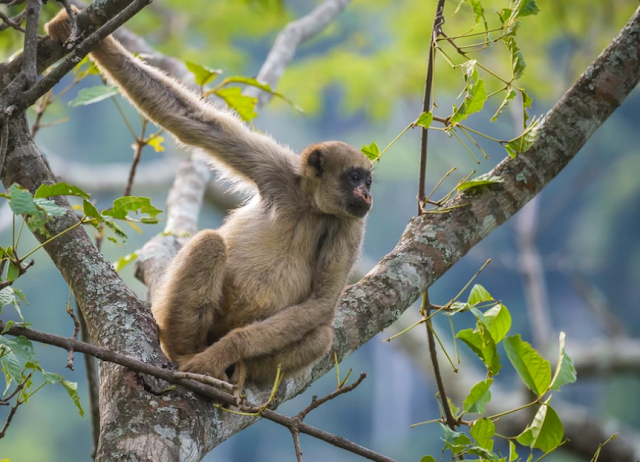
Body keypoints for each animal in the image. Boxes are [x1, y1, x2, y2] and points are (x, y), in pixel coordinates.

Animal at [45, 9, 372, 386]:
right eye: (355, 177)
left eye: (368, 181)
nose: (366, 194)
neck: (310, 207)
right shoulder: (276, 168)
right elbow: (192, 120)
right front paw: (89, 36)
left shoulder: (351, 224)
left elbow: (320, 303)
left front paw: (227, 351)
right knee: (210, 244)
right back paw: (184, 352)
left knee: (320, 334)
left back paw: (232, 367)